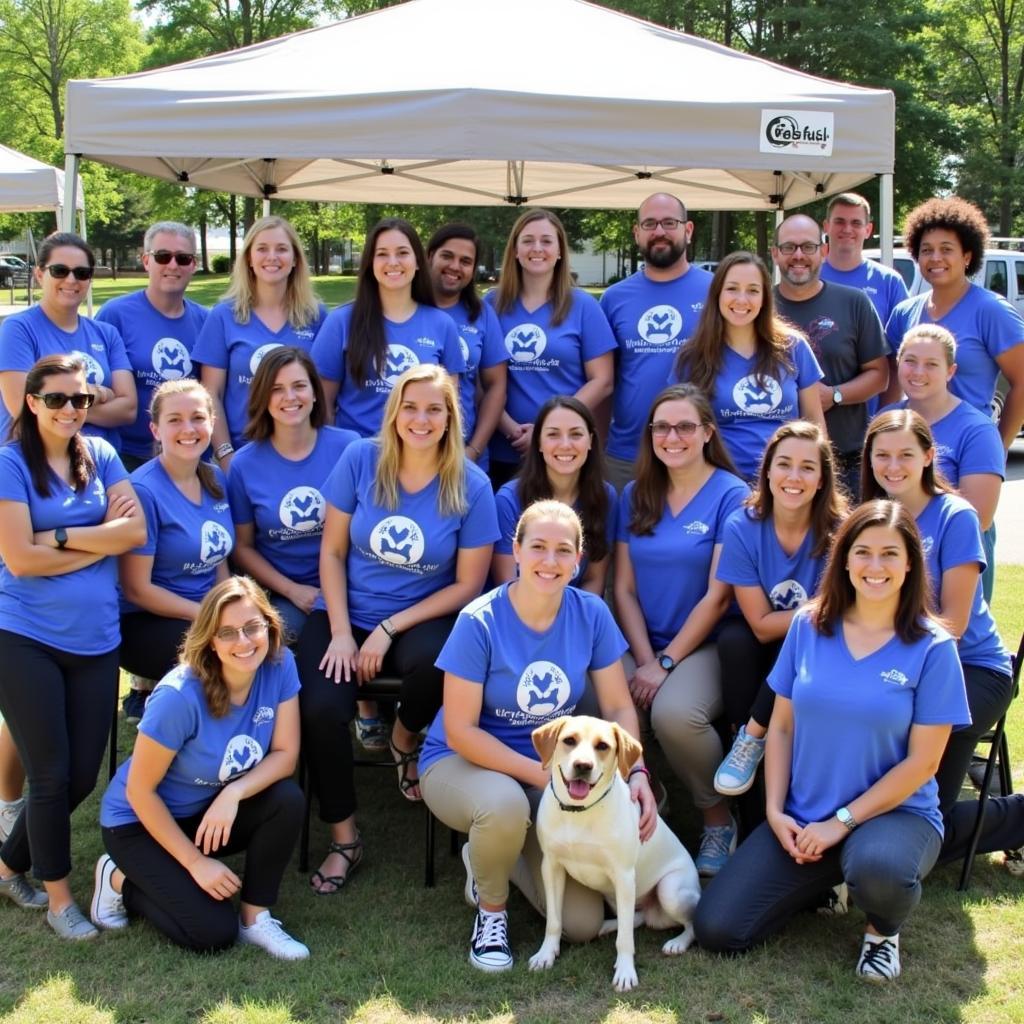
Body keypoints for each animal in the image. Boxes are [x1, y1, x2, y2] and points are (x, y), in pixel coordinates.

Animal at [528, 712, 704, 991]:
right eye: (569, 740)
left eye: (602, 746)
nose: (583, 766)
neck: (579, 812)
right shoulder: (551, 867)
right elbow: (554, 921)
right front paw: (546, 954)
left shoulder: (623, 875)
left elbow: (625, 940)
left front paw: (625, 971)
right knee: (635, 918)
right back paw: (607, 924)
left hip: (670, 891)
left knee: (688, 924)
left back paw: (677, 943)